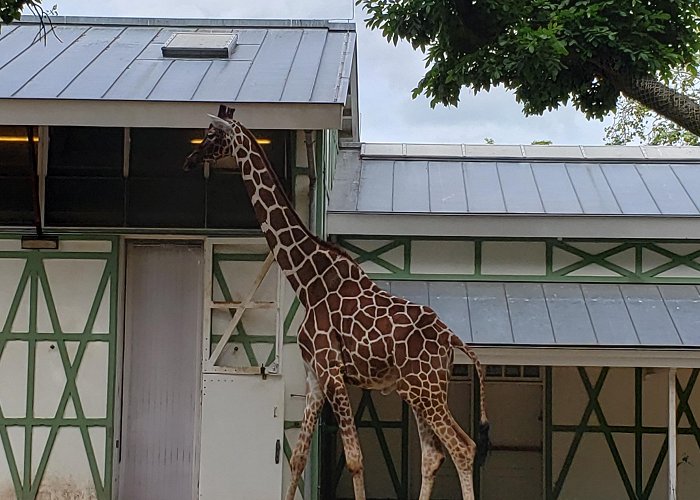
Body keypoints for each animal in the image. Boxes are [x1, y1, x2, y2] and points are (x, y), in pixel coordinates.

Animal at [186, 110, 490, 500]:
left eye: (211, 135)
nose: (189, 159)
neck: (307, 282)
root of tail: (453, 338)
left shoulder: (332, 371)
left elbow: (355, 458)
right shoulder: (315, 377)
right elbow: (298, 458)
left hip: (427, 388)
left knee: (463, 447)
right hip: (419, 389)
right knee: (433, 455)